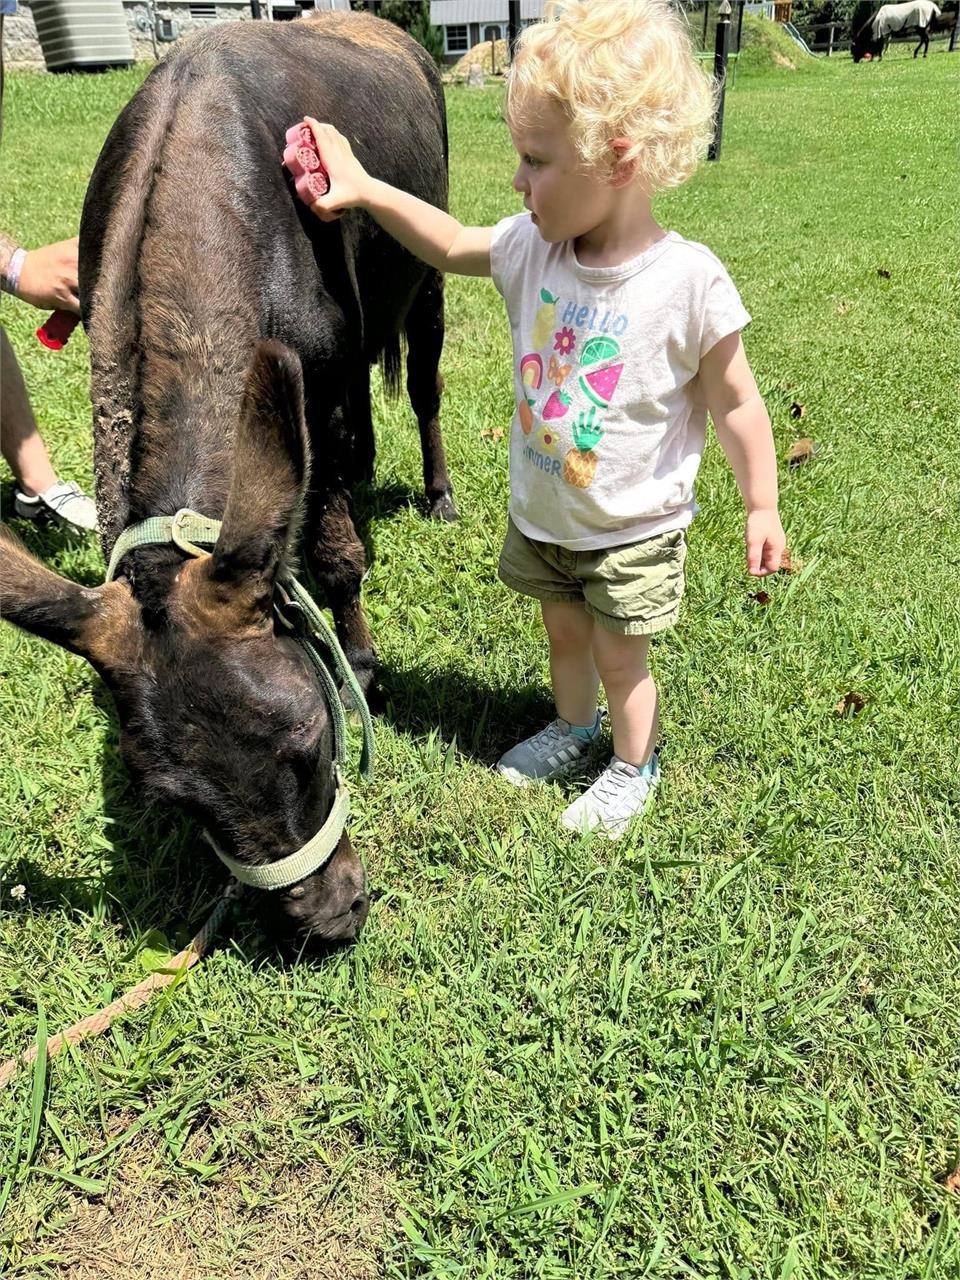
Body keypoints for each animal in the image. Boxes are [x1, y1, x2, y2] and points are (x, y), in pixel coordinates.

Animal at [0, 10, 455, 952]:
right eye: (178, 802)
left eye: (312, 740)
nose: (328, 921)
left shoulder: (318, 382)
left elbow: (336, 552)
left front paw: (361, 659)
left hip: (424, 270)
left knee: (423, 384)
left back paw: (436, 493)